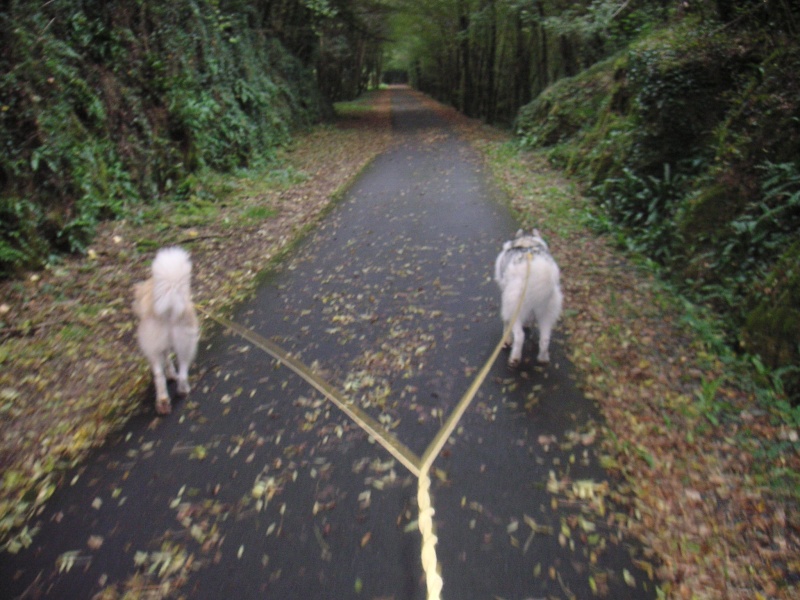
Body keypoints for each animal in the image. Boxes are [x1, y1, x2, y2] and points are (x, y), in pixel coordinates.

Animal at [132, 246, 199, 414]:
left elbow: (168, 361)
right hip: (185, 344)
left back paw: (172, 396)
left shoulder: (161, 347)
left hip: (166, 349)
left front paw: (171, 374)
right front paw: (172, 375)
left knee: (165, 374)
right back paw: (174, 395)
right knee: (176, 374)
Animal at [494, 230, 564, 368]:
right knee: (545, 338)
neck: (527, 242)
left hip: (514, 307)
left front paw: (506, 340)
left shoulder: (507, 302)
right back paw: (543, 358)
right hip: (546, 313)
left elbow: (506, 323)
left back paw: (515, 358)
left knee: (520, 336)